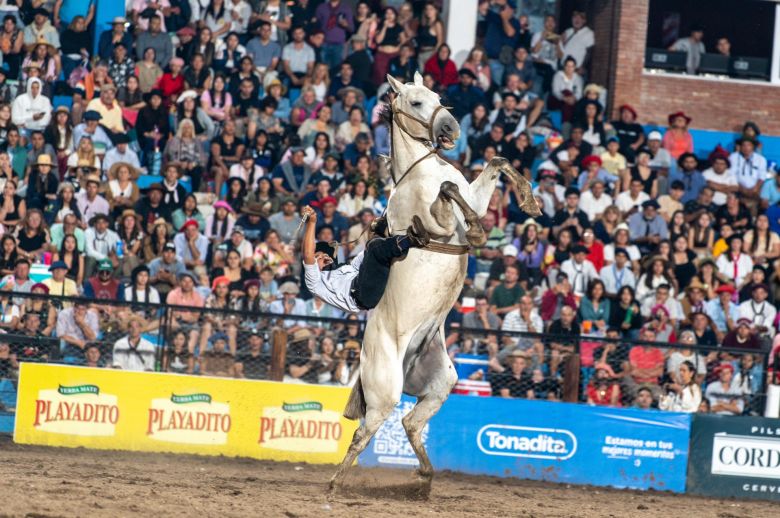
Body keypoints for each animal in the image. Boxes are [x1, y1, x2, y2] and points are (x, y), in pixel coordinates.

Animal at [330, 72, 544, 492]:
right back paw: (334, 484)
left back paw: (425, 478)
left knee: (410, 422)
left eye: (438, 96)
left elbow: (494, 164)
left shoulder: (476, 196)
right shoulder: (433, 226)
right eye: (415, 102)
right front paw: (476, 231)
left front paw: (529, 201)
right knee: (364, 432)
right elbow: (449, 192)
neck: (419, 172)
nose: (451, 129)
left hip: (441, 381)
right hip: (386, 389)